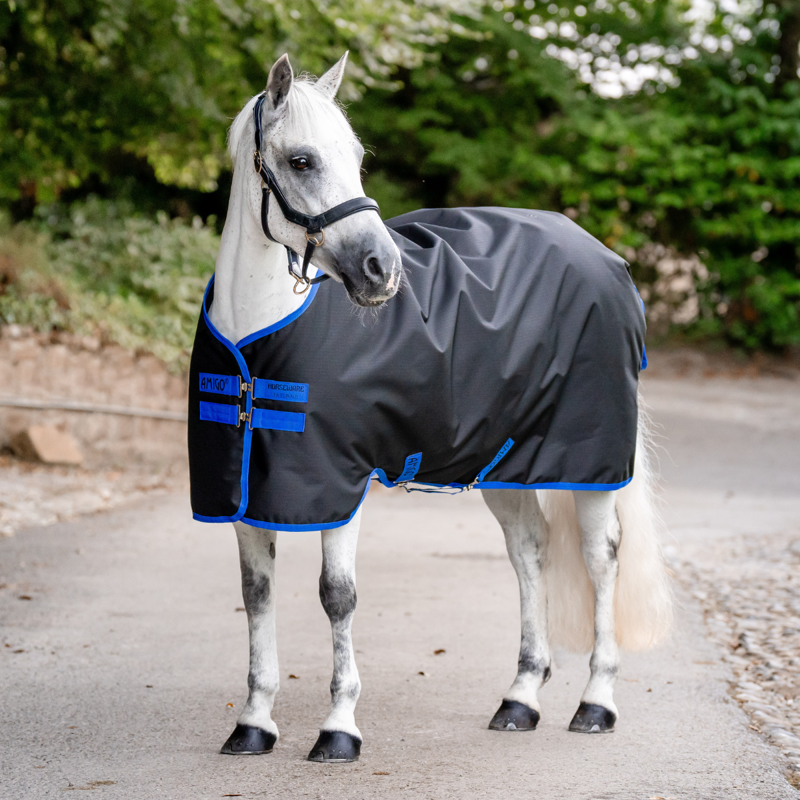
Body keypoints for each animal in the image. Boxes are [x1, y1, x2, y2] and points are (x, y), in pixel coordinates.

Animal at [192, 51, 673, 764]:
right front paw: (253, 723)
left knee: (600, 557)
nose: (381, 270)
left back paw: (596, 703)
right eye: (302, 160)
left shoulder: (342, 484)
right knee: (529, 551)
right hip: (505, 464)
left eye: (357, 156)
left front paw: (339, 728)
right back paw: (520, 699)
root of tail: (607, 258)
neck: (258, 339)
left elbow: (337, 596)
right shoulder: (248, 491)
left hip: (590, 463)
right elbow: (257, 596)